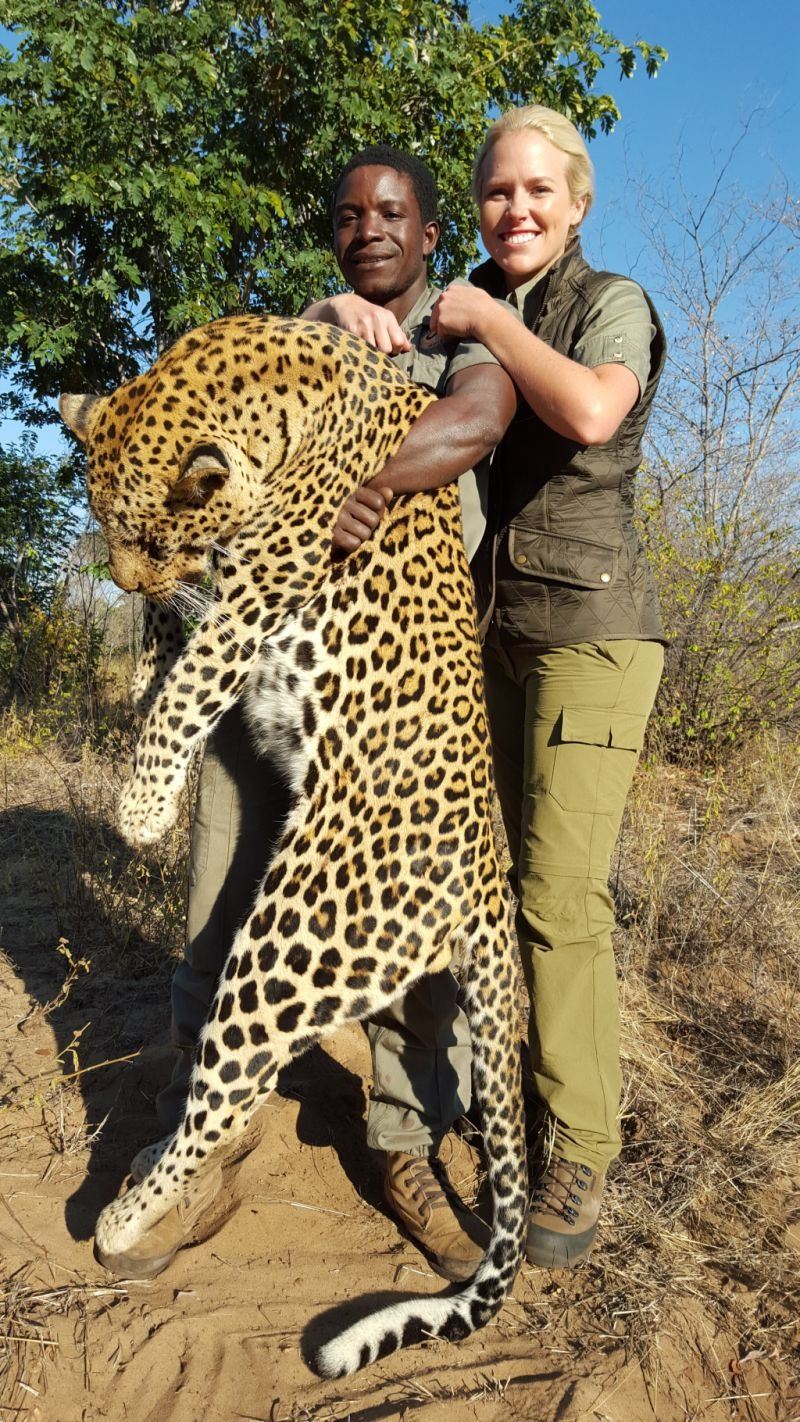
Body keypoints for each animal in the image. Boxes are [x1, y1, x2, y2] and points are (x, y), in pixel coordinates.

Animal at [60, 314, 527, 1378]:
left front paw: (140, 808)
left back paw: (123, 1217)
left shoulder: (263, 589)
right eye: (109, 529)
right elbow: (170, 655)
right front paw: (143, 669)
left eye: (152, 536)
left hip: (295, 940)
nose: (122, 576)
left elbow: (192, 685)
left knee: (232, 1087)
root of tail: (491, 878)